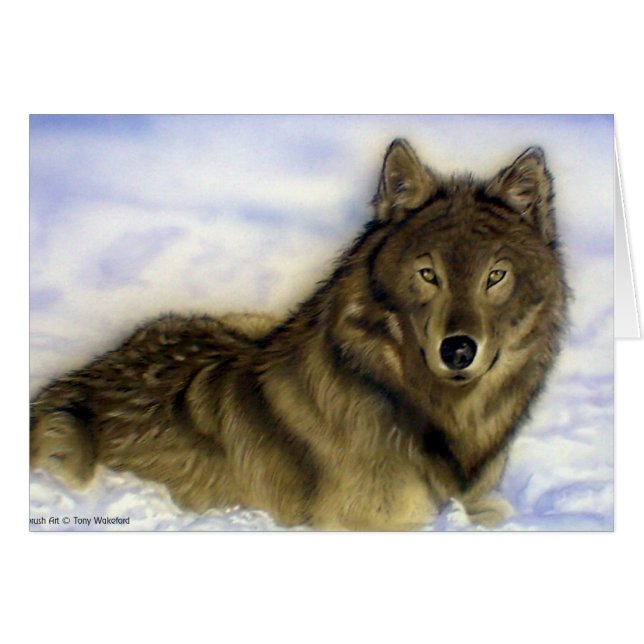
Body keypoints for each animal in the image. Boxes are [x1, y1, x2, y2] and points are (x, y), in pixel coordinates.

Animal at [30, 139, 568, 530]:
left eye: (495, 276)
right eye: (428, 274)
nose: (458, 350)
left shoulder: (483, 505)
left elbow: (493, 511)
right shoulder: (370, 522)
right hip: (64, 437)